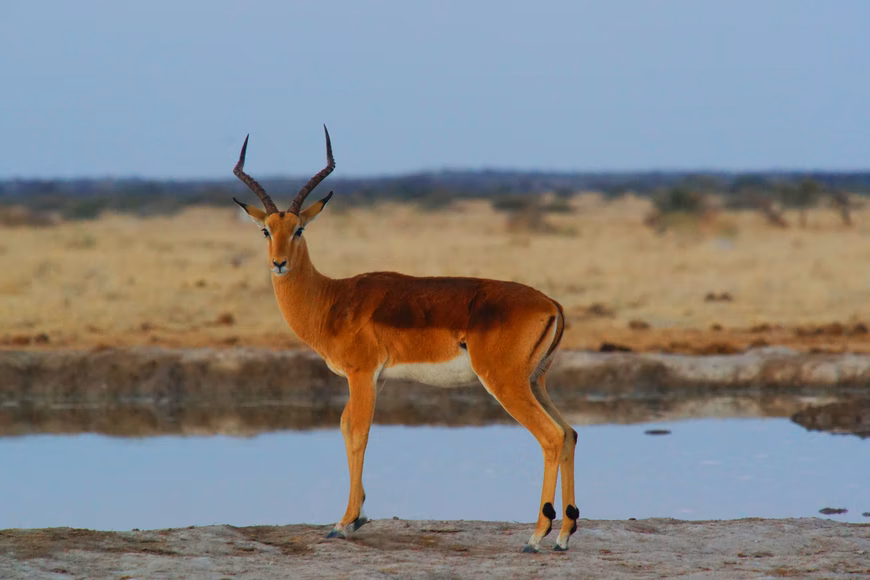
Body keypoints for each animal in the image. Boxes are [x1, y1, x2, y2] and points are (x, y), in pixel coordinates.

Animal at [232, 127, 578, 552]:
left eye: (299, 229)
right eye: (267, 230)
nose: (278, 263)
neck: (332, 300)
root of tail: (550, 302)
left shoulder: (361, 374)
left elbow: (358, 431)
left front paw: (345, 522)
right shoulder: (374, 378)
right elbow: (346, 427)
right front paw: (358, 516)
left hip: (505, 383)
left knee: (550, 436)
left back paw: (536, 535)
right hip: (536, 381)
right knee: (569, 433)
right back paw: (563, 534)